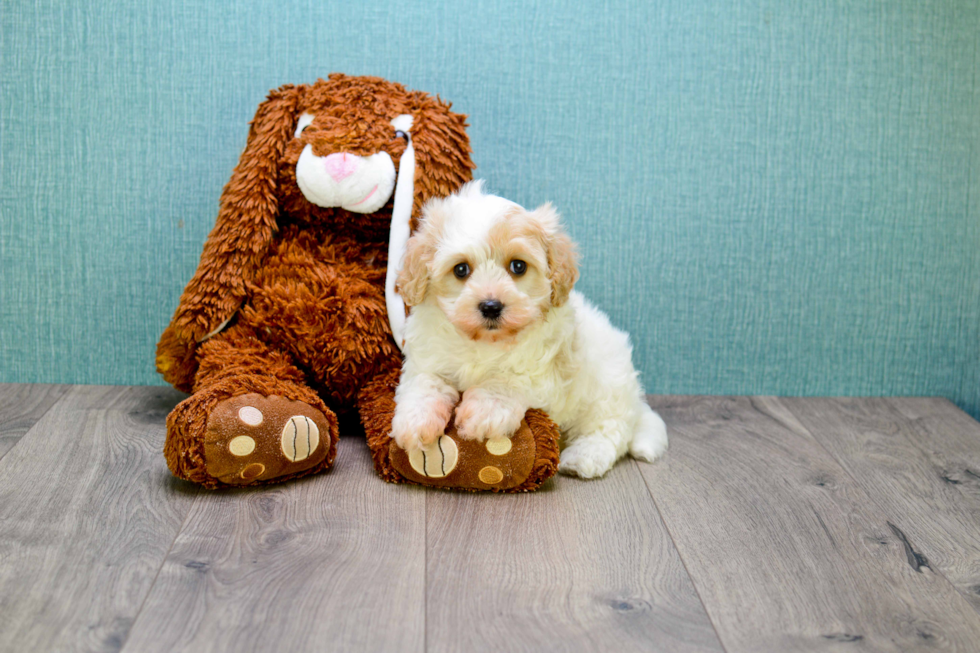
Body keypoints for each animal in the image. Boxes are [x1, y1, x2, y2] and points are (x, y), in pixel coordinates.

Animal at [390, 181, 668, 476]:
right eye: (461, 269)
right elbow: (426, 382)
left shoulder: (546, 370)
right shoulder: (427, 357)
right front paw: (415, 421)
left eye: (518, 266)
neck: (486, 342)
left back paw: (583, 457)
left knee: (609, 429)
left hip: (606, 388)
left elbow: (509, 379)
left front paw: (485, 410)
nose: (491, 306)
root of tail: (636, 402)